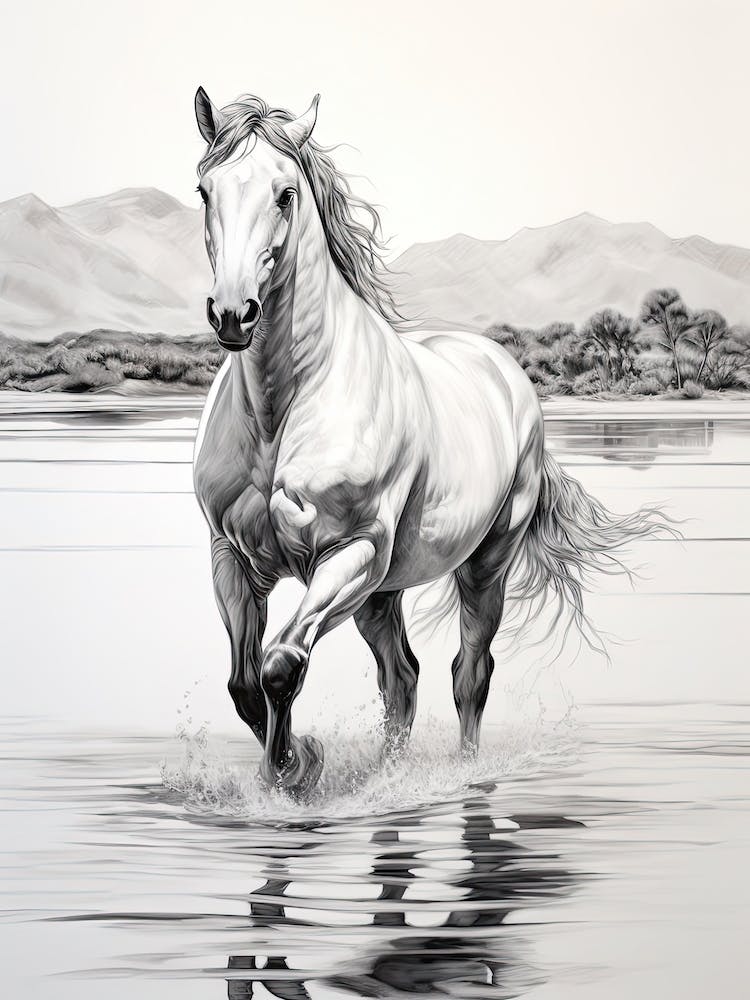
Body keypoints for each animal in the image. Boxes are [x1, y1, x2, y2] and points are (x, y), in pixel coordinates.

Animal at [192, 89, 664, 795]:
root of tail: (508, 375)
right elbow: (246, 684)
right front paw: (295, 768)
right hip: (381, 592)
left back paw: (464, 775)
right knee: (402, 679)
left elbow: (281, 664)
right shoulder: (234, 558)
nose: (232, 313)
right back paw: (385, 779)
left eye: (285, 194)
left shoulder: (350, 552)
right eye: (204, 191)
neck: (285, 409)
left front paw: (298, 767)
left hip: (480, 565)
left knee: (468, 674)